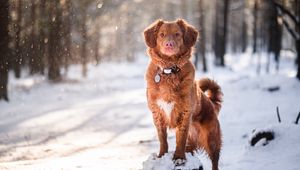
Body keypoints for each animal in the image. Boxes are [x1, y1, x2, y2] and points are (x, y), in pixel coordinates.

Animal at [143, 18, 223, 170]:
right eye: (161, 34)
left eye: (177, 34)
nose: (169, 44)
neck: (169, 70)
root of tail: (210, 102)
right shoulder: (157, 113)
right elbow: (162, 138)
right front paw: (161, 156)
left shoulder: (185, 113)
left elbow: (180, 138)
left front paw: (179, 158)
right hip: (193, 142)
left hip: (211, 138)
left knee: (215, 160)